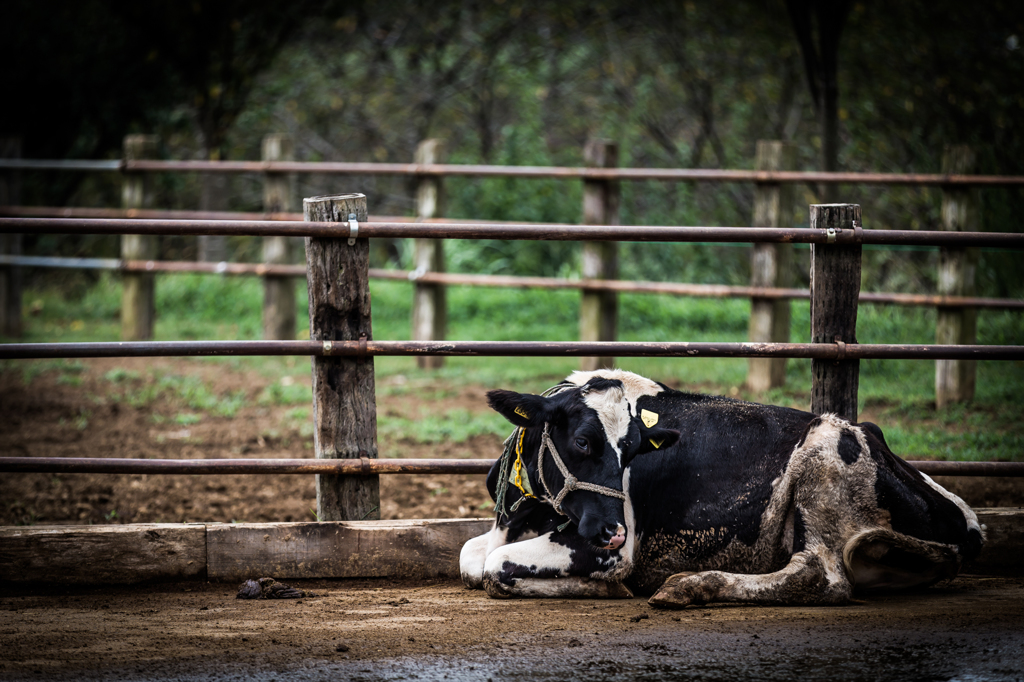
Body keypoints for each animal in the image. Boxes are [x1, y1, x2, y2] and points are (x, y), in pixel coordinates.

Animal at [458, 368, 983, 602]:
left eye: (634, 451)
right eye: (584, 441)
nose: (613, 530)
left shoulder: (613, 550)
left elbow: (497, 567)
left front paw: (609, 588)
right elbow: (471, 559)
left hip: (824, 460)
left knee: (820, 577)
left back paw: (690, 585)